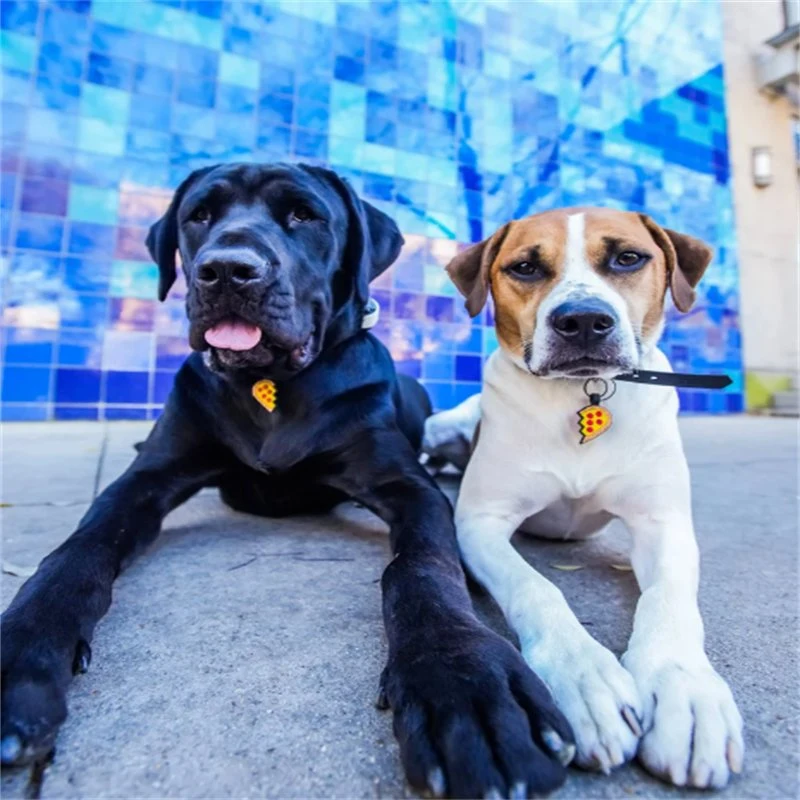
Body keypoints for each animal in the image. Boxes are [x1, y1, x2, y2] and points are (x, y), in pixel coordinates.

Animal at [1, 164, 576, 800]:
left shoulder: (408, 487)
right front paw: (22, 651)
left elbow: (421, 567)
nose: (228, 269)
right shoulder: (146, 478)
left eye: (304, 215)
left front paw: (463, 680)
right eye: (199, 215)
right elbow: (76, 551)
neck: (271, 384)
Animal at [424, 209, 744, 792]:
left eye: (628, 258)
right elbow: (538, 588)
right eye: (525, 267)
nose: (584, 321)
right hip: (444, 424)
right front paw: (583, 679)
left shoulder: (664, 525)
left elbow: (668, 601)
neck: (584, 392)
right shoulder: (479, 523)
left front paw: (685, 693)